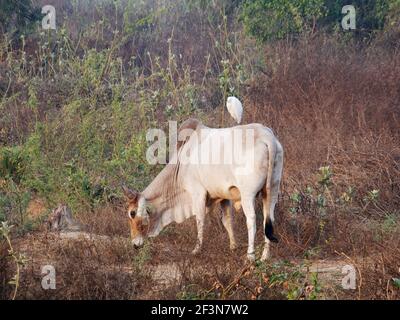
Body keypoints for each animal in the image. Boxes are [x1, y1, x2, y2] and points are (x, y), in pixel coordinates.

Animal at [123, 119, 282, 262]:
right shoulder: (224, 196)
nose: (135, 244)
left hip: (247, 195)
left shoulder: (197, 193)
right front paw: (233, 247)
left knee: (252, 220)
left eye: (132, 213)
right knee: (269, 219)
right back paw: (265, 256)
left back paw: (250, 256)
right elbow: (227, 221)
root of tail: (267, 136)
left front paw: (196, 250)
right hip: (272, 191)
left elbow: (199, 220)